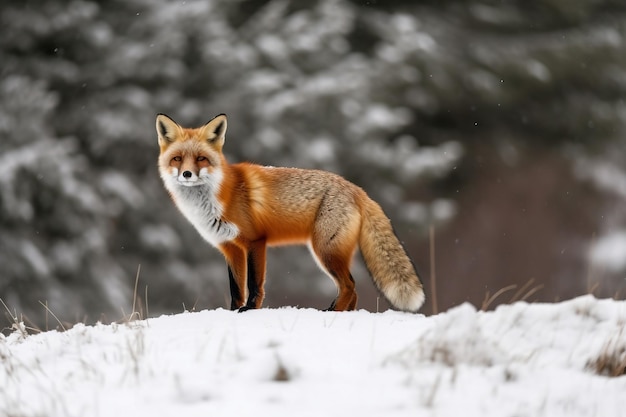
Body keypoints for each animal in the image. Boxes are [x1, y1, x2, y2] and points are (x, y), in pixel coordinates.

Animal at [155, 112, 424, 310]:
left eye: (201, 158)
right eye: (177, 159)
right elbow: (236, 289)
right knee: (353, 290)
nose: (186, 174)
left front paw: (249, 311)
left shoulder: (255, 241)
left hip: (325, 251)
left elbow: (254, 285)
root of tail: (357, 189)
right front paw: (234, 312)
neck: (216, 198)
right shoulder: (230, 248)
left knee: (349, 287)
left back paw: (332, 314)